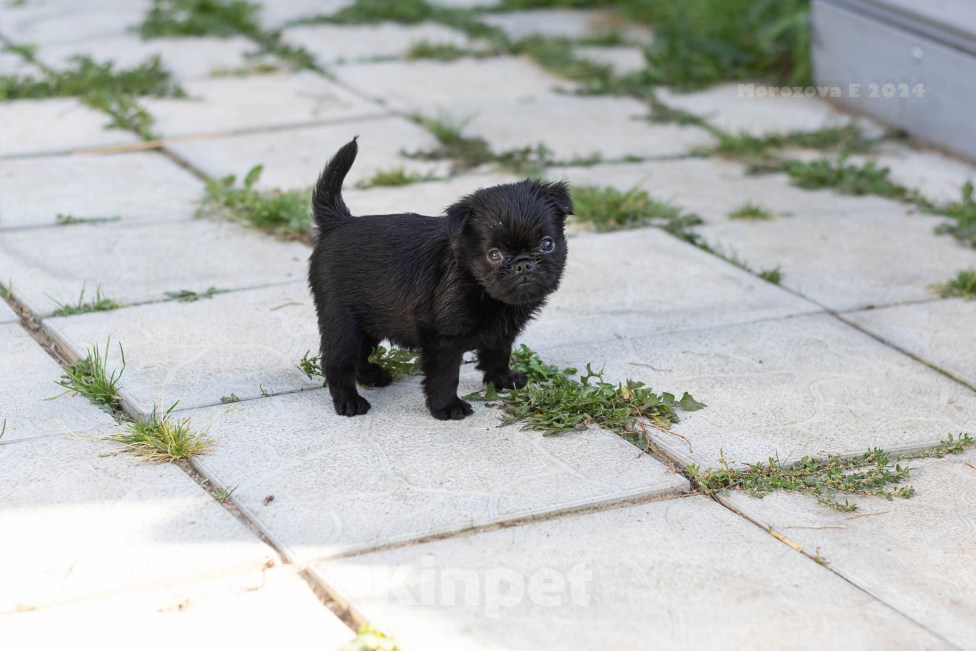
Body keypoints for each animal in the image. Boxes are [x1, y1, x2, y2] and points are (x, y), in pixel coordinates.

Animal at [308, 139, 572, 420]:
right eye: (494, 255)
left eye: (547, 244)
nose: (523, 264)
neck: (475, 282)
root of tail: (338, 222)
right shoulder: (442, 338)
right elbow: (445, 375)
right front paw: (447, 406)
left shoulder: (502, 332)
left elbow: (498, 354)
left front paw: (502, 380)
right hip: (343, 323)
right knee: (337, 362)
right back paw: (349, 400)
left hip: (370, 320)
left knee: (359, 354)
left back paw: (372, 375)